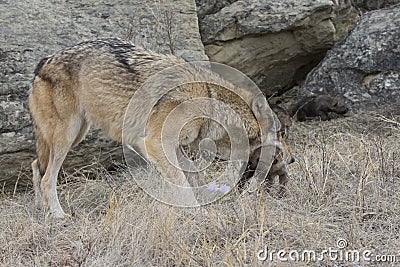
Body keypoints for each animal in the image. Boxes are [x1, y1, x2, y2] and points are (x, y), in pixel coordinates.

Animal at [28, 37, 282, 218]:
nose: (285, 158)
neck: (209, 100)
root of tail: (43, 62)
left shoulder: (169, 146)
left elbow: (190, 178)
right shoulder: (154, 143)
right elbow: (183, 184)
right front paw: (197, 214)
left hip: (76, 134)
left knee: (35, 165)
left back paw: (40, 209)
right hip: (67, 137)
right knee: (47, 178)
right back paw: (59, 216)